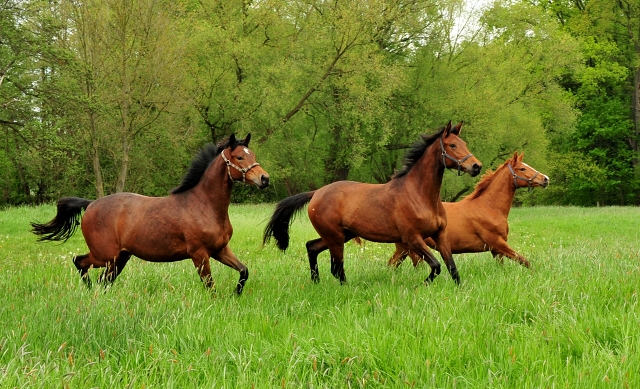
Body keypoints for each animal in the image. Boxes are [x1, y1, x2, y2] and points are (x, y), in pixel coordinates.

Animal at [30, 133, 268, 294]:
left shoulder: (220, 249)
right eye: (239, 157)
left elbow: (244, 271)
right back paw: (89, 292)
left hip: (119, 258)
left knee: (103, 280)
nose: (264, 179)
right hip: (105, 255)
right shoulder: (200, 254)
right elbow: (210, 287)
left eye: (253, 155)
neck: (204, 204)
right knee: (80, 262)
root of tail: (90, 204)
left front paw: (236, 294)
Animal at [264, 121, 480, 284]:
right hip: (335, 238)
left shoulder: (440, 235)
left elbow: (452, 268)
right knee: (336, 268)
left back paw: (315, 281)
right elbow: (436, 266)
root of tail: (317, 192)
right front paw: (422, 285)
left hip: (341, 235)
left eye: (464, 143)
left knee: (312, 247)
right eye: (452, 145)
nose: (476, 166)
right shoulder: (412, 238)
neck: (420, 195)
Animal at [390, 151, 552, 266]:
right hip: (413, 250)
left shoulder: (496, 250)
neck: (488, 207)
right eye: (522, 168)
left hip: (402, 249)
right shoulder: (497, 243)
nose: (545, 179)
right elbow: (525, 261)